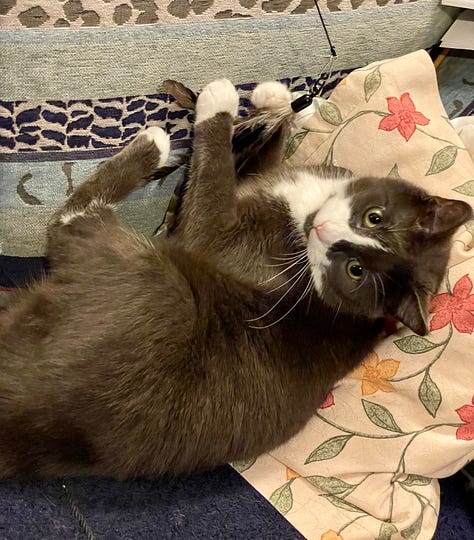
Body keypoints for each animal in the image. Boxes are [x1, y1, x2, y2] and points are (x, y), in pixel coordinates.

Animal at [0, 79, 470, 476]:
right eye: (374, 217)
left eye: (354, 271)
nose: (323, 231)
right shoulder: (270, 179)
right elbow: (264, 158)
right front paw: (278, 100)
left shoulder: (221, 241)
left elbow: (214, 181)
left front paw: (220, 101)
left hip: (160, 285)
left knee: (70, 219)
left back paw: (153, 144)